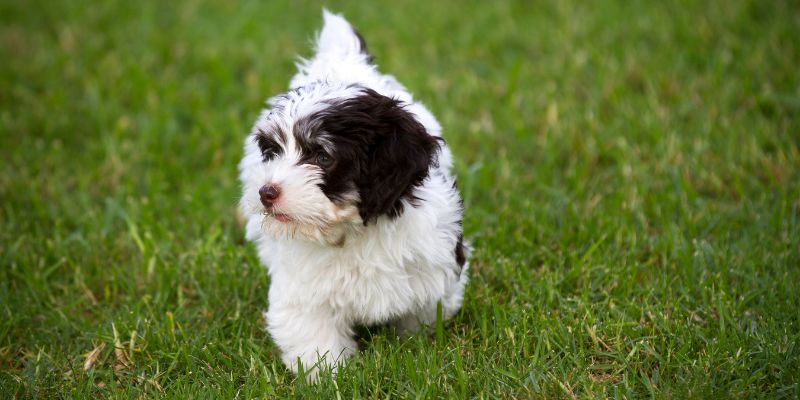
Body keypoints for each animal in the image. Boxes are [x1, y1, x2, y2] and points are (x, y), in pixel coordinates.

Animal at [238, 9, 468, 378]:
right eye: (272, 152)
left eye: (322, 157)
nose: (266, 192)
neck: (353, 229)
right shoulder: (302, 287)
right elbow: (312, 332)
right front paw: (326, 375)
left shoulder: (438, 264)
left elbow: (422, 313)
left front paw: (415, 346)